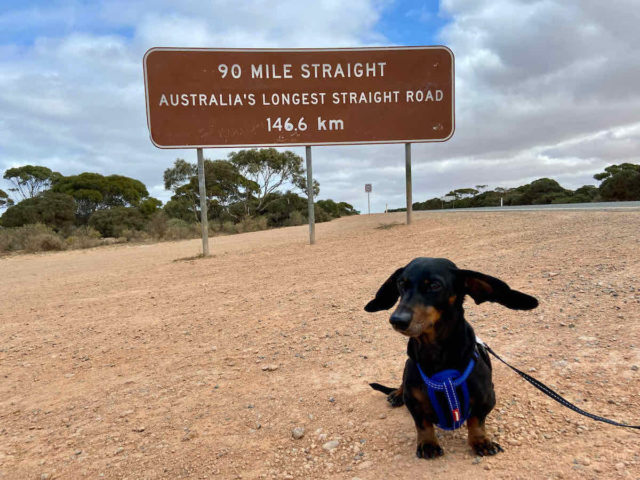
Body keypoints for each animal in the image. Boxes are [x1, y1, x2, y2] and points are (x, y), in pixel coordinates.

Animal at [362, 258, 536, 458]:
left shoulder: (487, 398)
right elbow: (423, 424)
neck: (437, 355)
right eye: (401, 284)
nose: (397, 320)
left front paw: (481, 441)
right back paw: (397, 394)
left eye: (435, 285)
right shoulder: (414, 402)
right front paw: (428, 444)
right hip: (407, 366)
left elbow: (476, 420)